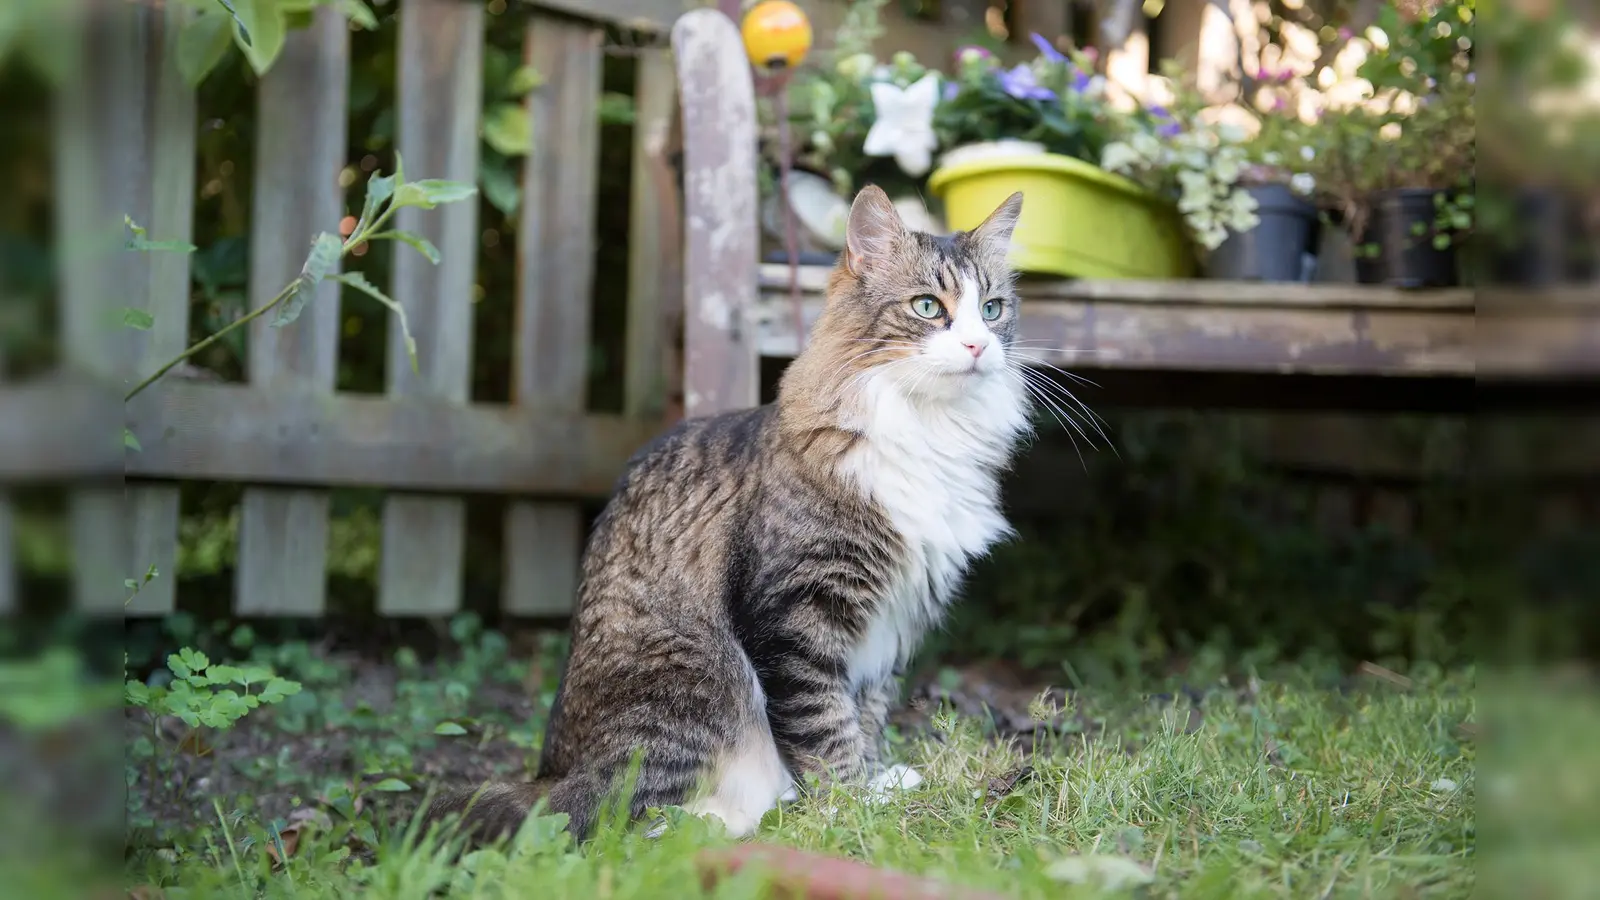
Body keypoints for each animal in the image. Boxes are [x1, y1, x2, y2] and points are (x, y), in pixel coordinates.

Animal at [419, 185, 1030, 845]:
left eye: (992, 309)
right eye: (927, 307)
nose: (978, 346)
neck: (928, 429)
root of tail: (551, 775)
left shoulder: (890, 625)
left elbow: (865, 713)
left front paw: (875, 782)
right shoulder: (796, 617)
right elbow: (824, 724)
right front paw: (850, 805)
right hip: (700, 680)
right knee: (617, 819)